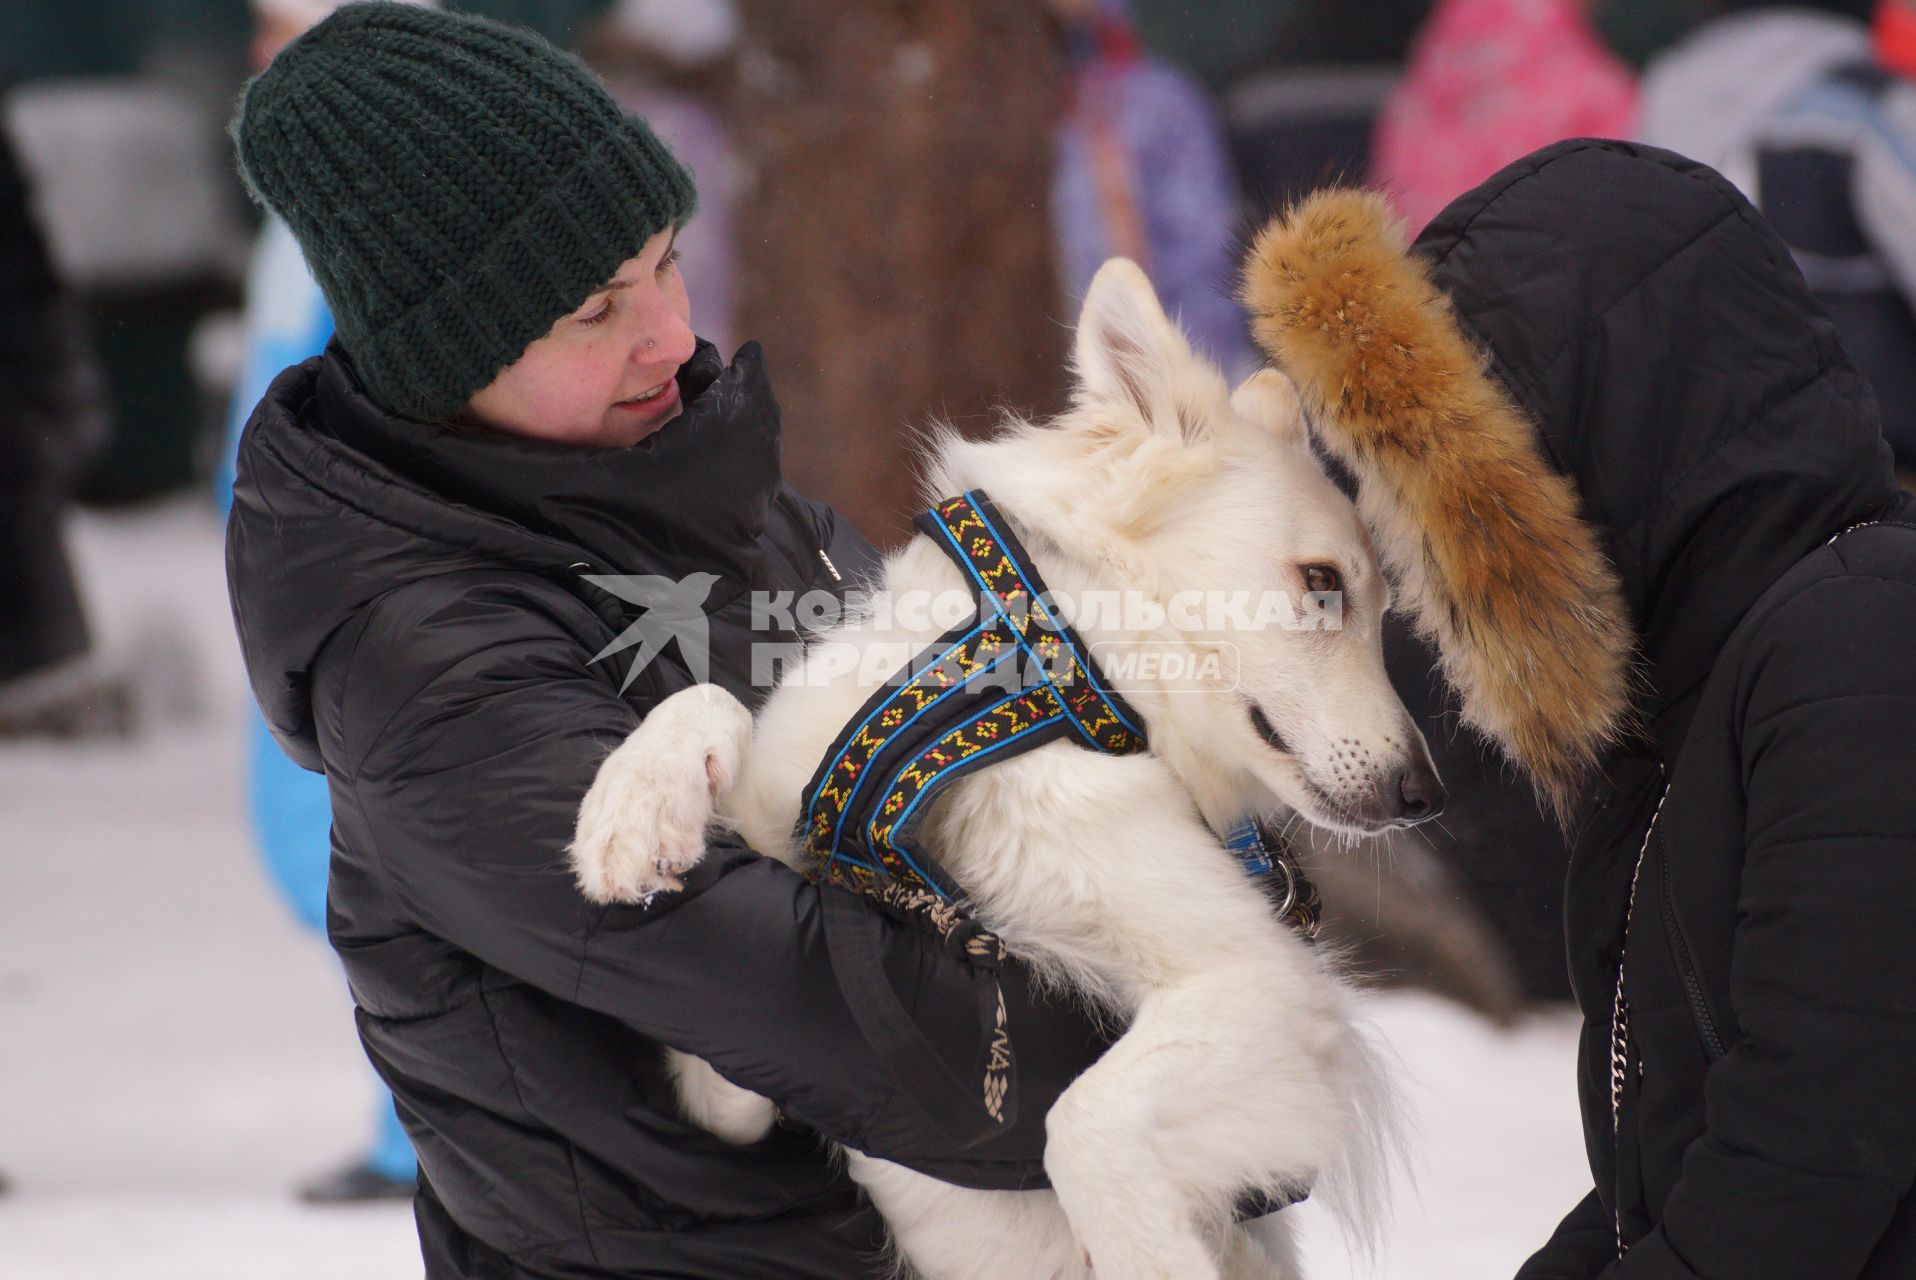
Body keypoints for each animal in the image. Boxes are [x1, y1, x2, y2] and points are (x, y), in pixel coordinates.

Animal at [567, 262, 1440, 1280]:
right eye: (1322, 582)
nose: (1426, 796)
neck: (1016, 696)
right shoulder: (737, 1100)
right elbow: (713, 705)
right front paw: (631, 813)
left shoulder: (1269, 984)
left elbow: (1081, 1124)